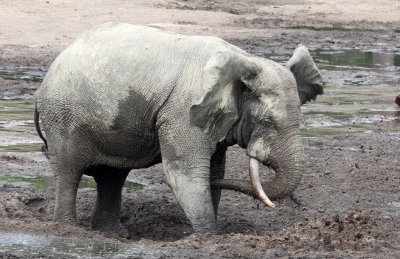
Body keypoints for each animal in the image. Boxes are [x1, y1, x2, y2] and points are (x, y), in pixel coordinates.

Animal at [33, 22, 322, 238]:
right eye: (268, 122)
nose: (299, 205)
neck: (245, 60)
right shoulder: (183, 112)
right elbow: (187, 174)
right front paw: (208, 238)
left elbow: (214, 171)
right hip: (63, 116)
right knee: (70, 171)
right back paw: (67, 230)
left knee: (112, 175)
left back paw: (111, 235)